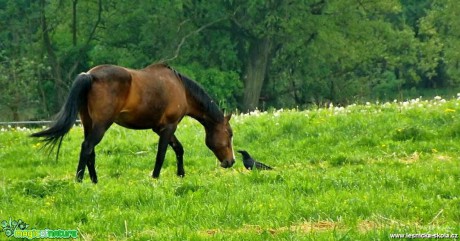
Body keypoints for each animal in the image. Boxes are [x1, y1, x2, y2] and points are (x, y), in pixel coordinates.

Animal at [30, 63, 235, 184]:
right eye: (230, 134)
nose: (231, 161)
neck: (181, 89)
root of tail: (89, 75)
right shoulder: (169, 126)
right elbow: (161, 154)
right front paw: (155, 178)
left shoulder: (160, 128)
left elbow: (178, 149)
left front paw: (181, 175)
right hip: (101, 125)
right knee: (87, 147)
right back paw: (79, 180)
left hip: (88, 123)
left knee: (90, 151)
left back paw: (94, 181)